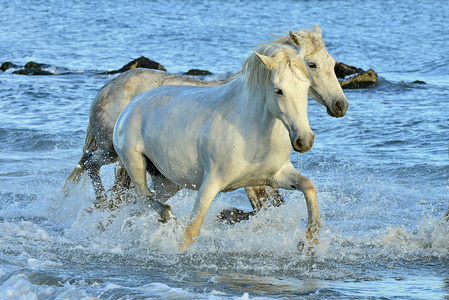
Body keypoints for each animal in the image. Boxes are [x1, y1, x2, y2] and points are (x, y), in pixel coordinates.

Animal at [64, 24, 346, 214]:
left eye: (332, 62)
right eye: (311, 64)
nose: (340, 105)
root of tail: (107, 87)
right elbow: (261, 206)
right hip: (111, 150)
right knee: (89, 164)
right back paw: (101, 202)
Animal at [114, 41, 318, 248]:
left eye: (306, 87)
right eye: (278, 90)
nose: (304, 140)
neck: (252, 131)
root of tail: (130, 107)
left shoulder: (275, 176)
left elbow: (309, 187)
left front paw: (310, 243)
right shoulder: (211, 183)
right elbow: (191, 231)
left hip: (168, 182)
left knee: (140, 205)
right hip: (135, 165)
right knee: (144, 198)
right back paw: (167, 217)